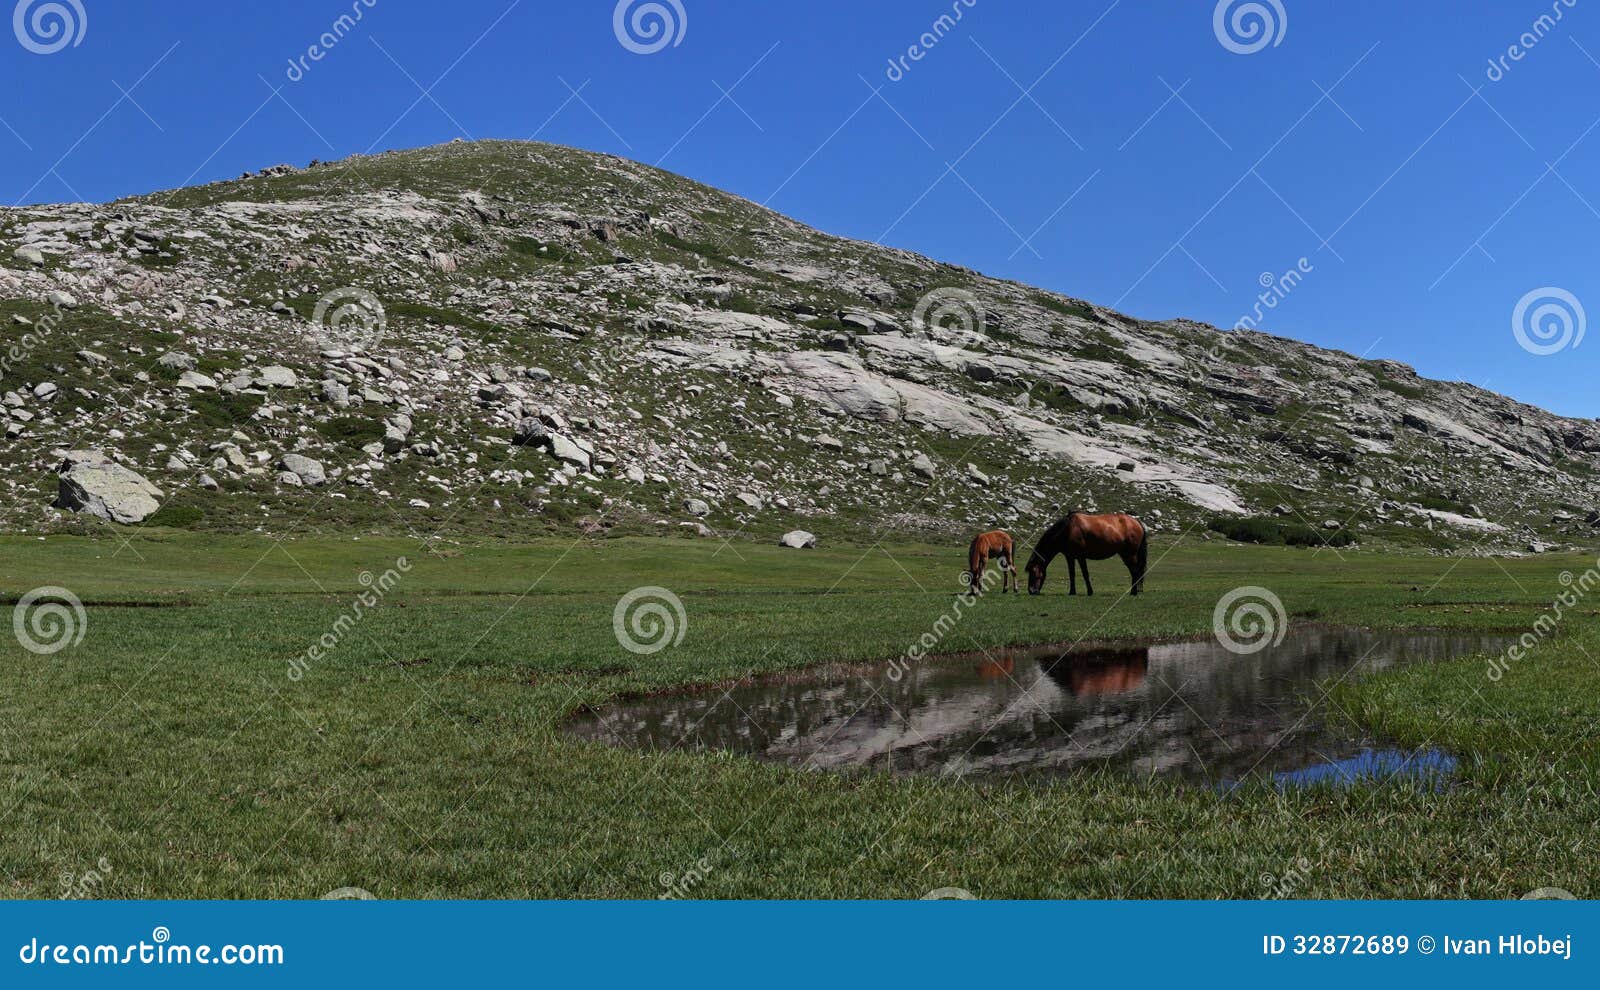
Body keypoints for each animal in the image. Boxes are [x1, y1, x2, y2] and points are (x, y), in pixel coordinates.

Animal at [1024, 514, 1152, 601]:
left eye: (1034, 572)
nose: (1031, 591)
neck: (1067, 529)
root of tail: (1136, 522)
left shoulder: (1081, 557)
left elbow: (1085, 574)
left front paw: (1090, 591)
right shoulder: (1070, 557)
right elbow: (1072, 574)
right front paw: (1072, 592)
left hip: (1130, 555)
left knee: (1135, 572)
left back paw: (1133, 592)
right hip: (1125, 555)